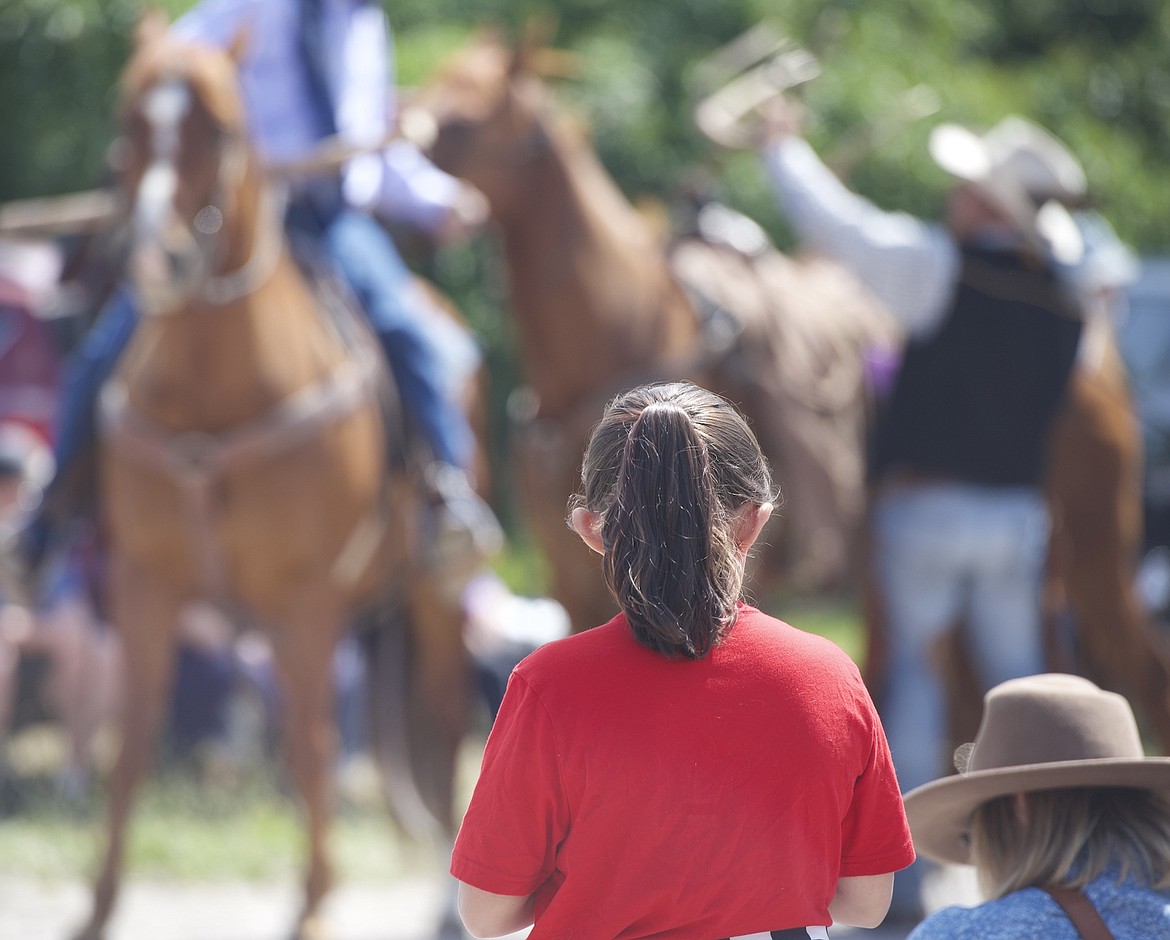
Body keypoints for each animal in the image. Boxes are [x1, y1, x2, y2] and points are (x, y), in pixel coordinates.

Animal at [76, 16, 470, 940]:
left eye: (220, 127)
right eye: (128, 119)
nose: (151, 254)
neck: (216, 391)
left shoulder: (307, 598)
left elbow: (314, 746)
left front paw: (314, 906)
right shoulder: (146, 585)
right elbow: (132, 739)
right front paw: (99, 907)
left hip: (431, 593)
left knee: (445, 723)